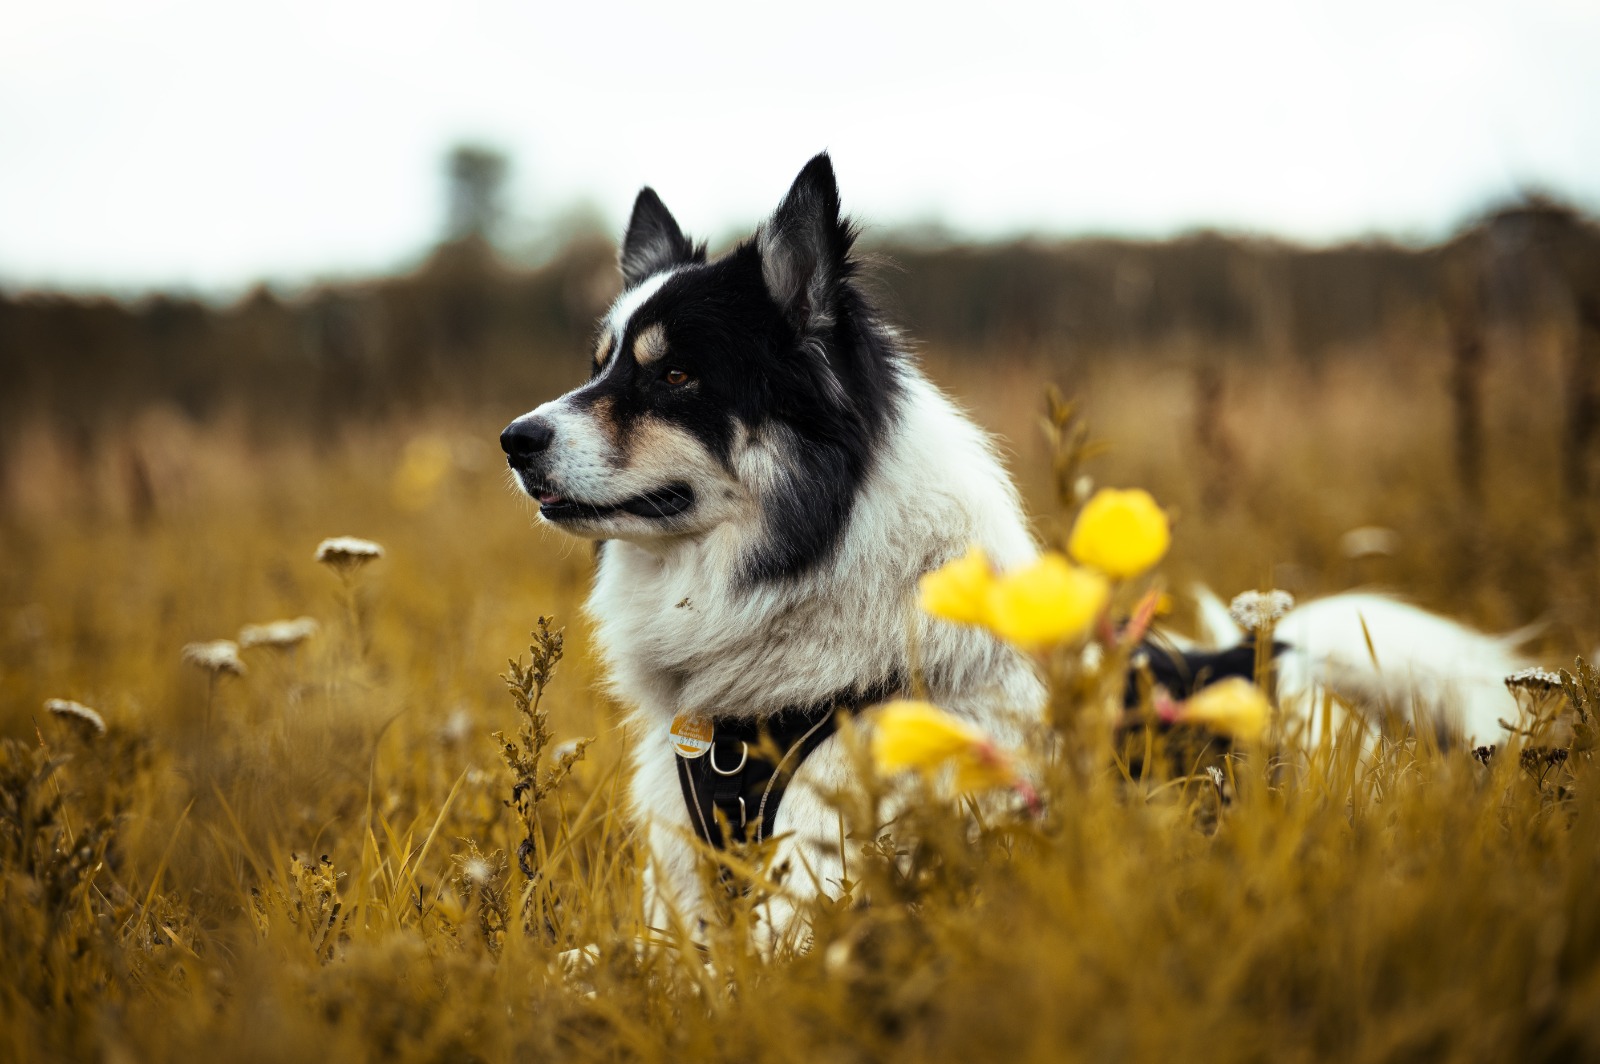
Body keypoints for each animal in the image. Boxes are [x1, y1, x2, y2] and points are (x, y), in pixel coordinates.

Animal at [505, 156, 1529, 940]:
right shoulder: (679, 897)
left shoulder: (815, 900)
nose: (515, 439)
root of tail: (1266, 657)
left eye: (675, 376)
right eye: (599, 364)